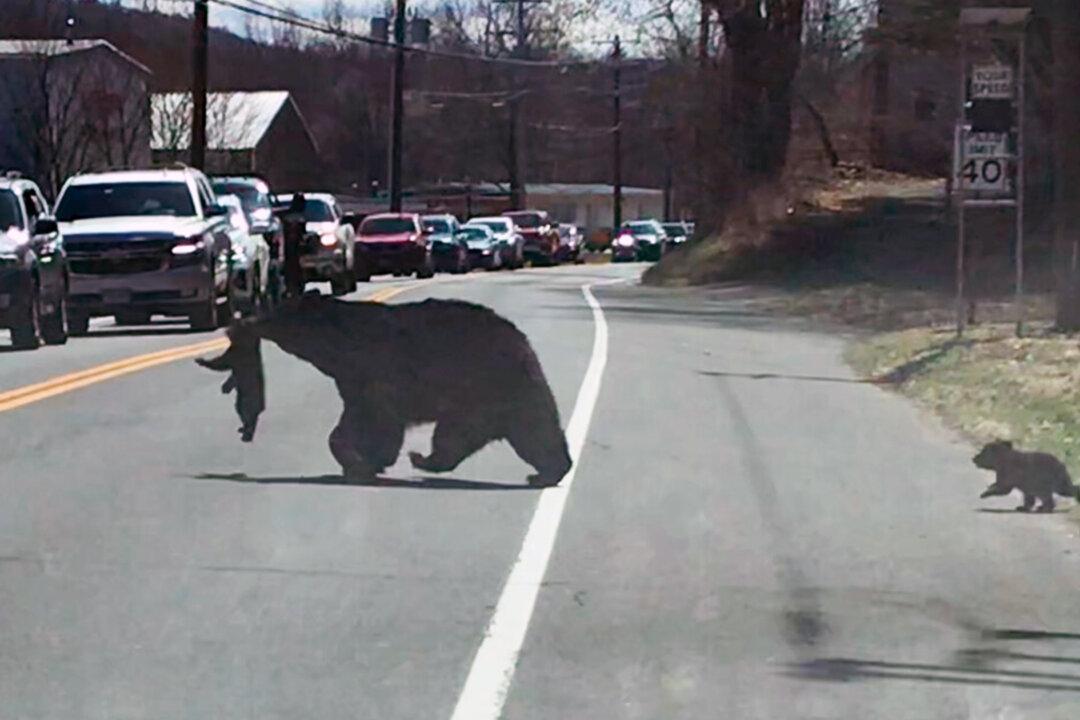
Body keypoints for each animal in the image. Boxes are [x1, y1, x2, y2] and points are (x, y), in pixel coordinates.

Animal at [197, 294, 573, 486]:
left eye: (278, 313)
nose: (246, 322)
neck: (338, 345)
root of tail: (525, 345)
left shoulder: (375, 372)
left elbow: (375, 420)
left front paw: (365, 461)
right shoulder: (352, 379)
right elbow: (356, 419)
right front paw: (366, 460)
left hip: (488, 388)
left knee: (520, 431)